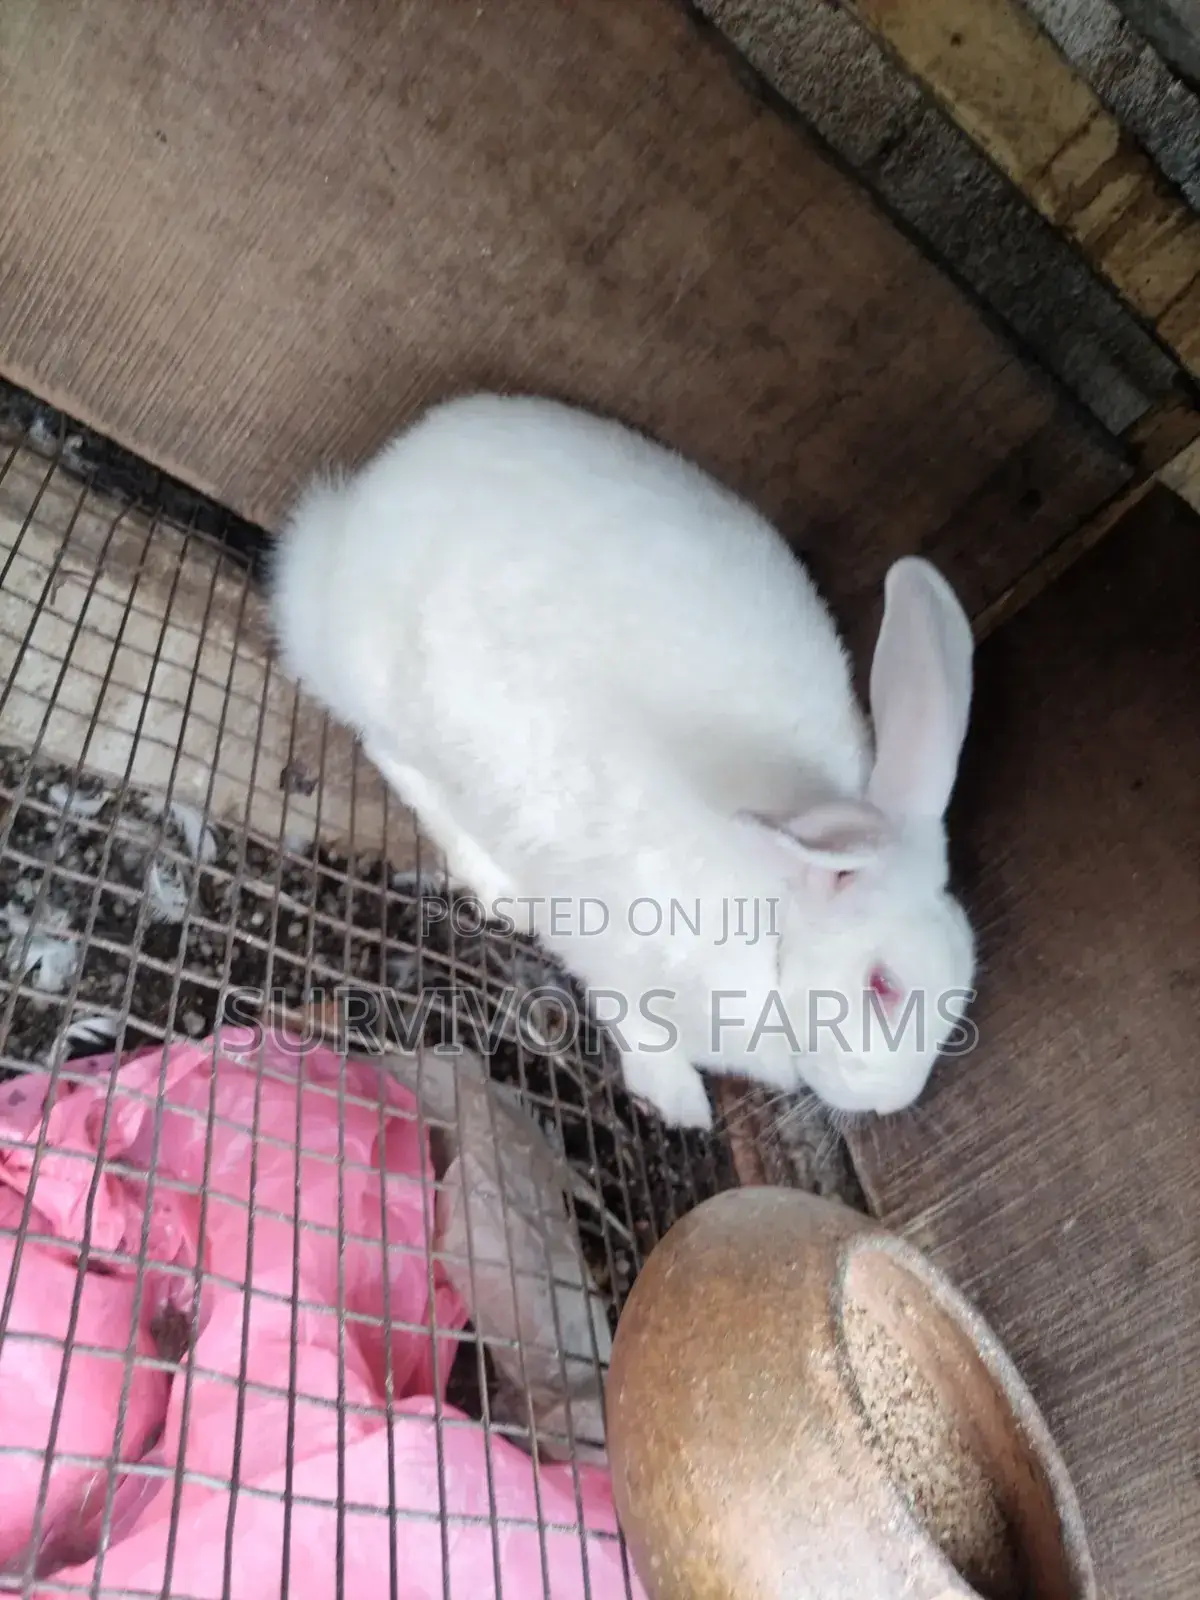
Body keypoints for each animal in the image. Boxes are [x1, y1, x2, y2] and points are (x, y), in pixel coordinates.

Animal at [268, 391, 976, 1131]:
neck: (782, 908)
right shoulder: (612, 940)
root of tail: (364, 498)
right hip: (390, 687)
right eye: (881, 985)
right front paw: (680, 1101)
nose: (894, 1099)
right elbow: (634, 1017)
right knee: (394, 755)